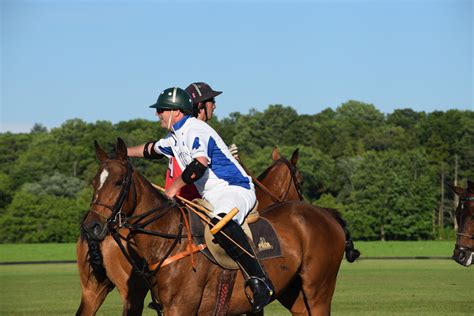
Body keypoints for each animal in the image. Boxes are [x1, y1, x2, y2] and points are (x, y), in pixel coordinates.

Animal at [80, 139, 348, 316]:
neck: (168, 238)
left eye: (119, 181)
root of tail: (326, 214)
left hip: (318, 289)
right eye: (94, 182)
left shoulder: (183, 309)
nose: (92, 226)